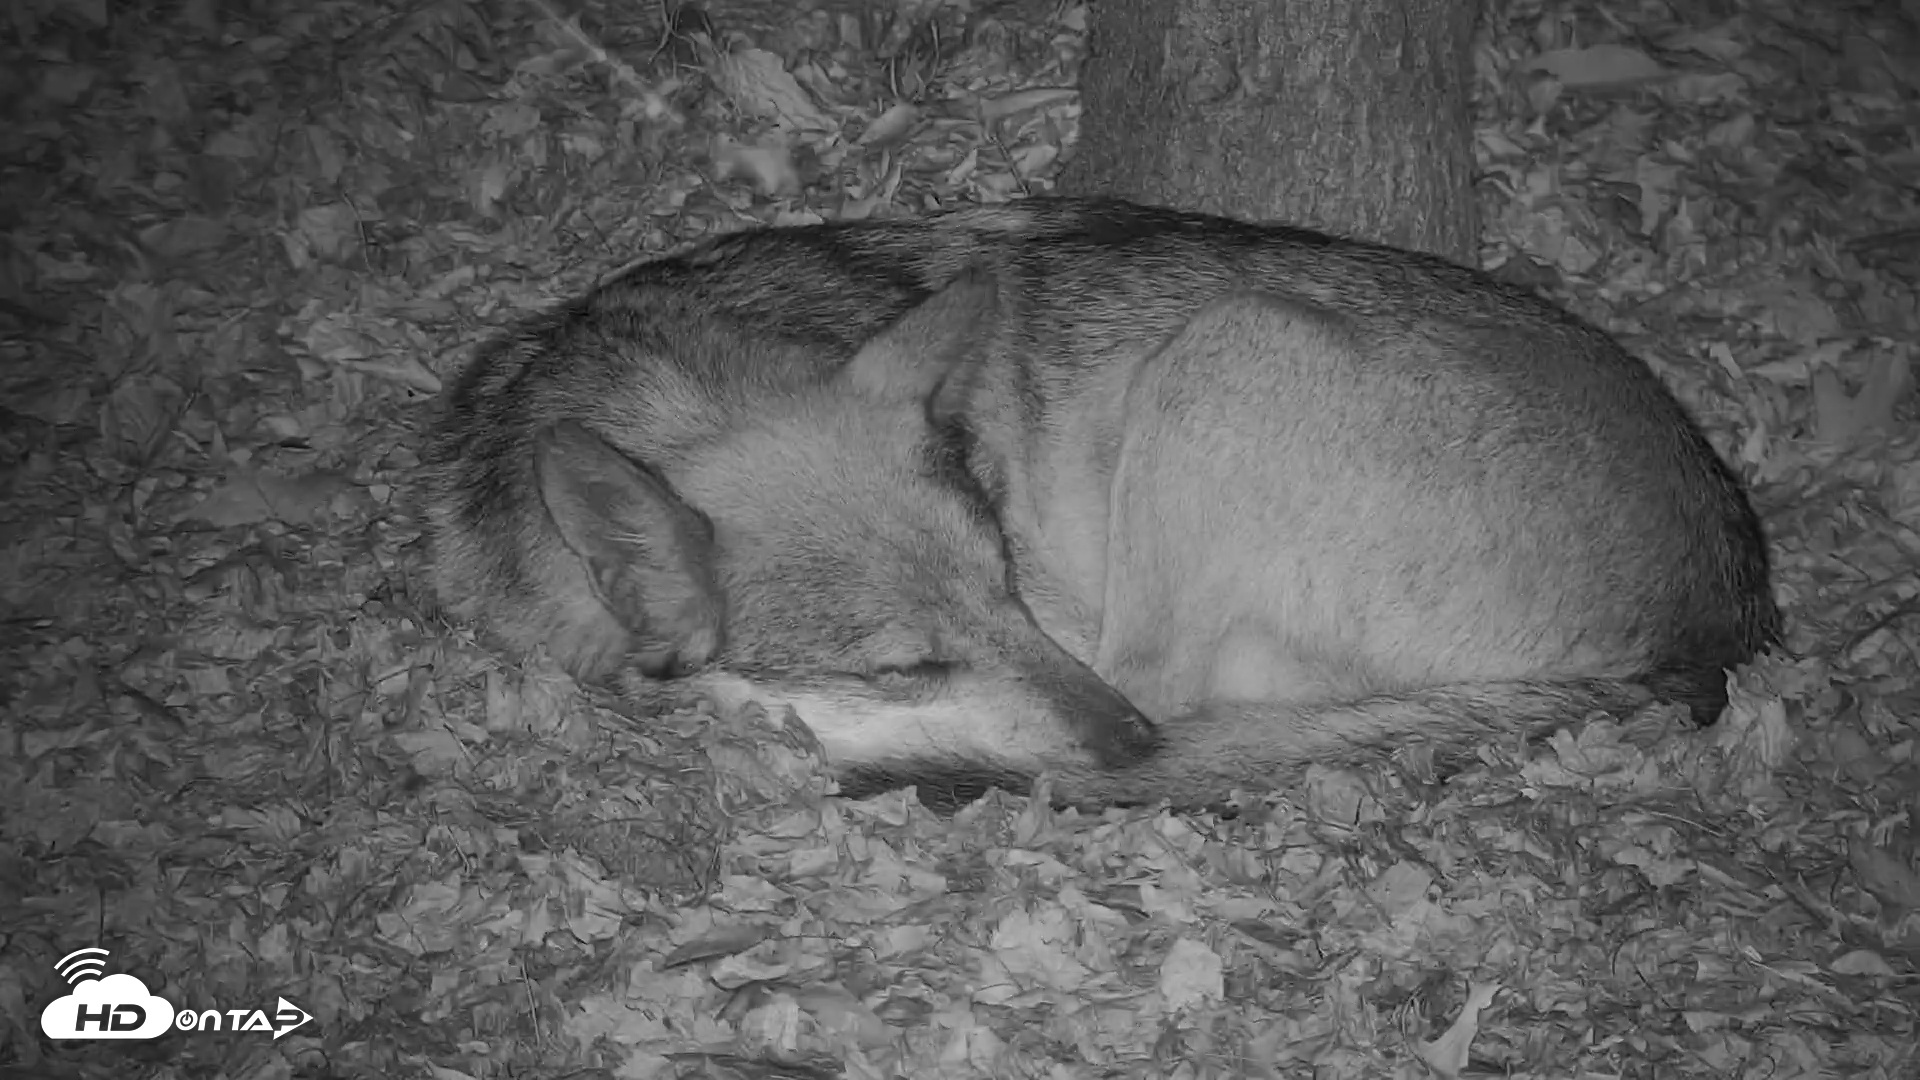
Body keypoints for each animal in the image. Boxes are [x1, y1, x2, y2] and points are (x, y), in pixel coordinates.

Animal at [421, 198, 1778, 808]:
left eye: (1008, 589)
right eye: (911, 661)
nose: (1124, 745)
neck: (666, 377)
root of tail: (1720, 625)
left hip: (1223, 351)